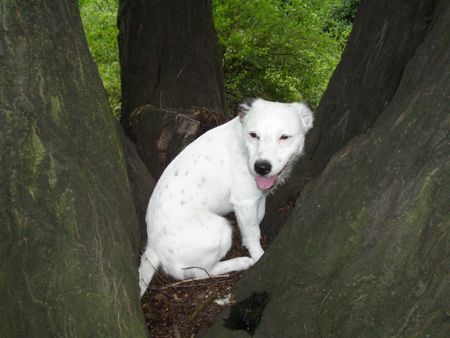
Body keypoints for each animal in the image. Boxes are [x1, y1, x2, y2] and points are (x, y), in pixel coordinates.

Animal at [138, 97, 312, 296]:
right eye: (253, 135)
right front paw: (258, 256)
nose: (261, 167)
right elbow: (253, 233)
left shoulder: (256, 199)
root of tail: (153, 248)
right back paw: (240, 262)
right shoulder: (245, 202)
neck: (243, 146)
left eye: (285, 137)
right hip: (220, 231)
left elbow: (258, 218)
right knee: (200, 273)